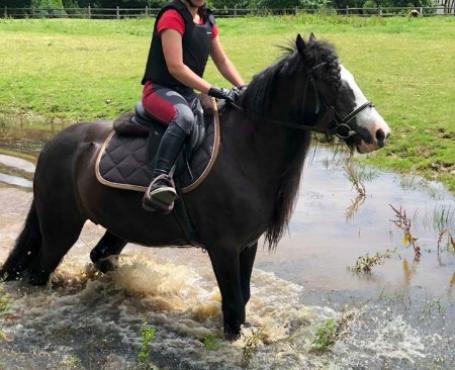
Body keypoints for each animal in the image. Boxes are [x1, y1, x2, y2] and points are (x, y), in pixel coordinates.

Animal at [0, 34, 392, 338]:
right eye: (332, 81)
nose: (379, 133)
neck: (244, 151)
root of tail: (54, 145)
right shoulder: (223, 247)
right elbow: (232, 306)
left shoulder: (247, 244)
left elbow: (243, 298)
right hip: (60, 228)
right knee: (38, 272)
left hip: (119, 225)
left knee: (99, 256)